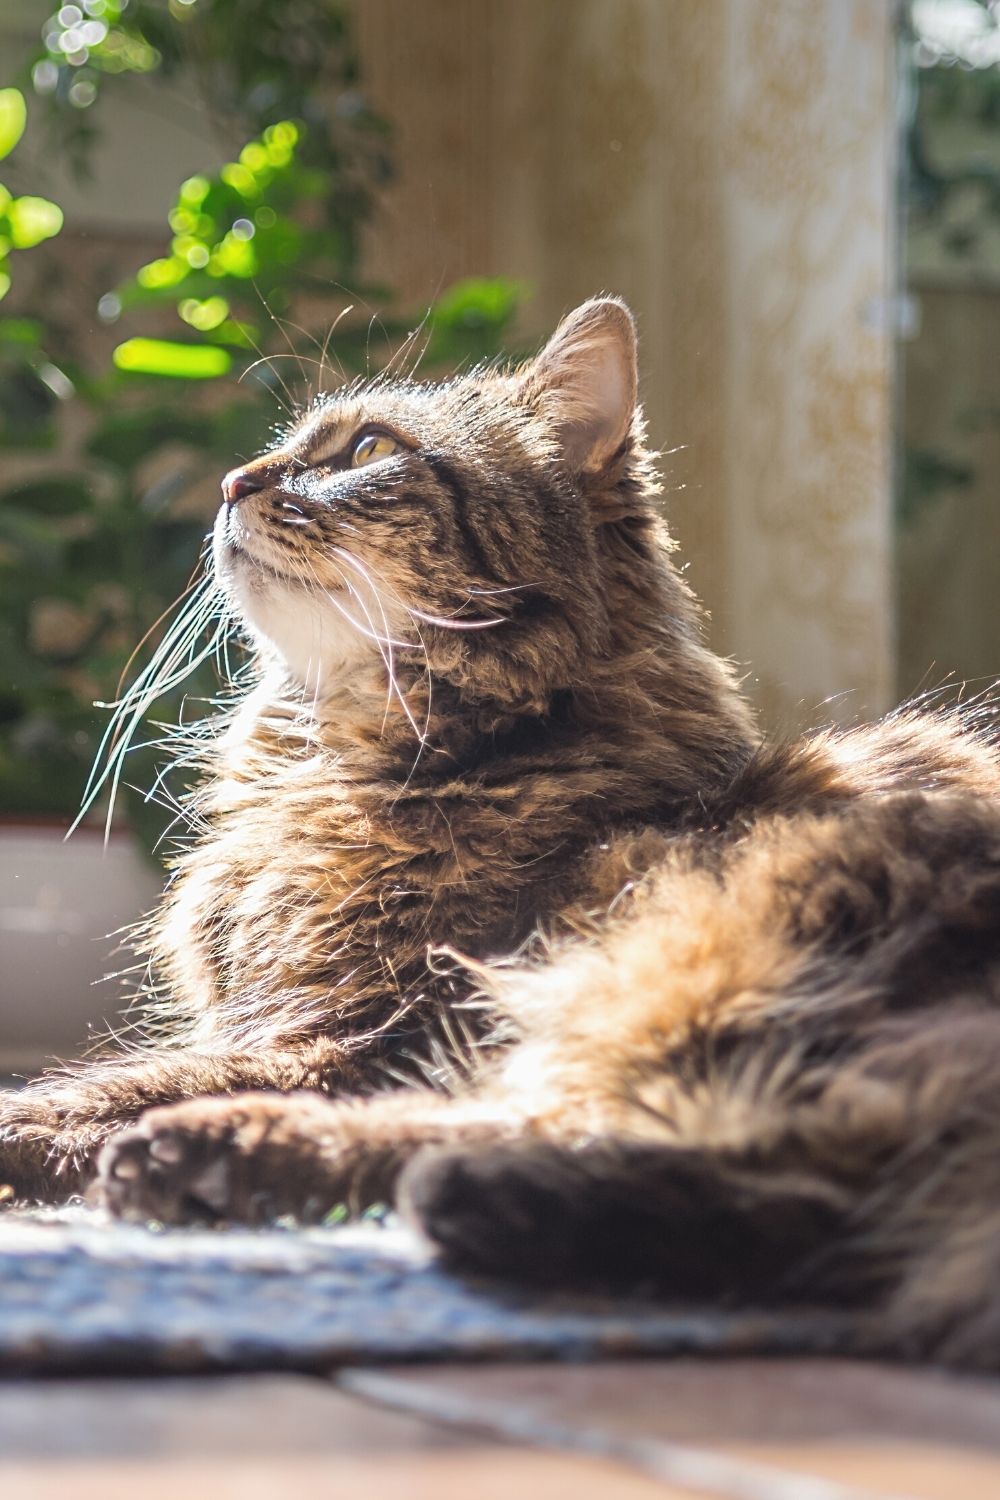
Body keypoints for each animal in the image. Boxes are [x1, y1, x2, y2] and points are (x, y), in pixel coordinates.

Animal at [1, 295, 1000, 1374]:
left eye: (366, 449)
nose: (231, 483)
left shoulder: (369, 1028)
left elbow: (95, 1089)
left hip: (682, 964)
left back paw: (232, 1156)